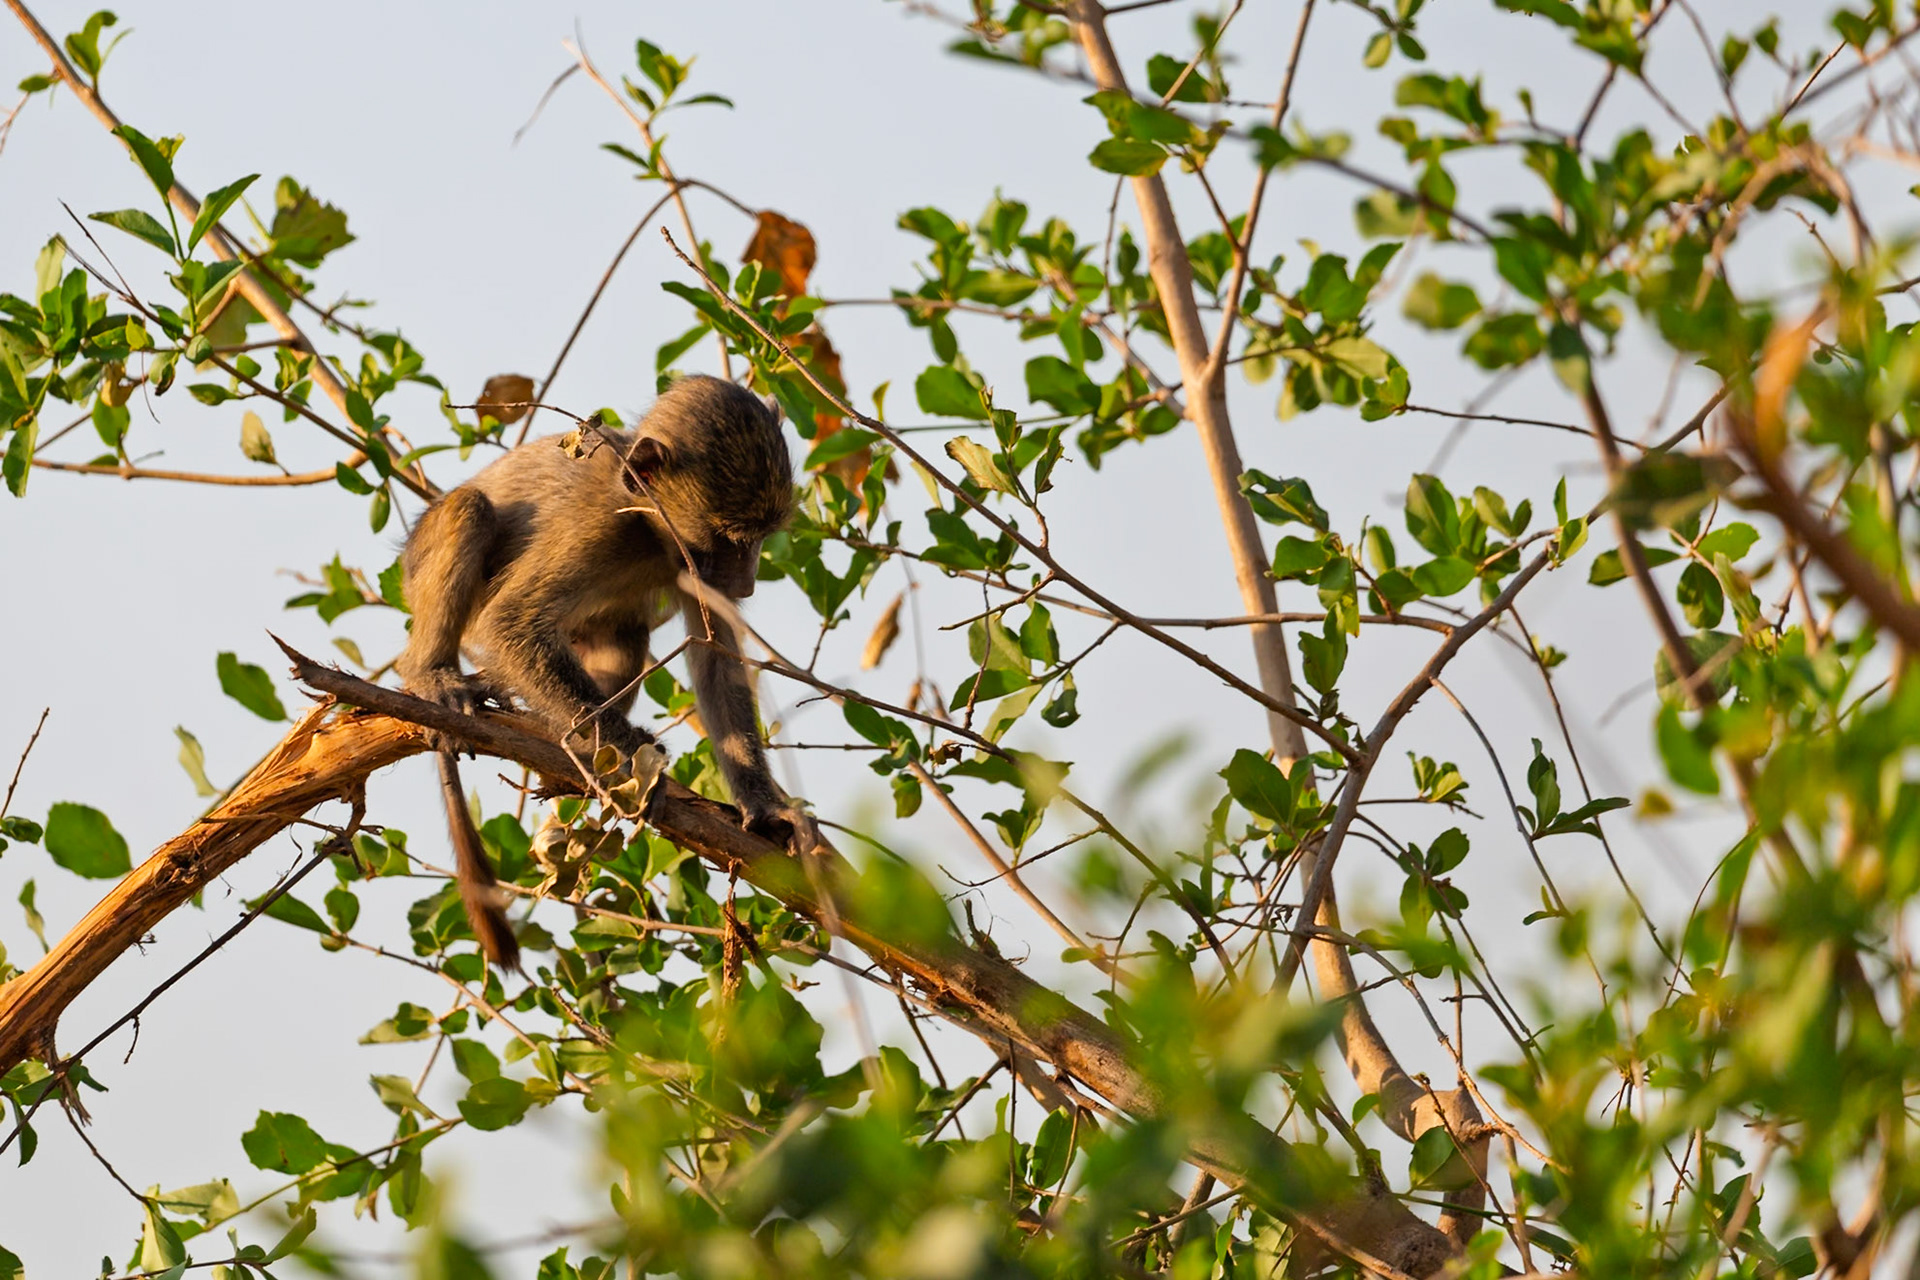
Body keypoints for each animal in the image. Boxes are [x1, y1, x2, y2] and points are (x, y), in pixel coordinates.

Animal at [396, 373, 813, 971]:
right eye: (732, 537)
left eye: (761, 536)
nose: (746, 584)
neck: (645, 523)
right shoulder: (596, 530)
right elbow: (510, 622)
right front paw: (635, 760)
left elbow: (716, 655)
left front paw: (764, 806)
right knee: (469, 511)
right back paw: (433, 677)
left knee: (623, 644)